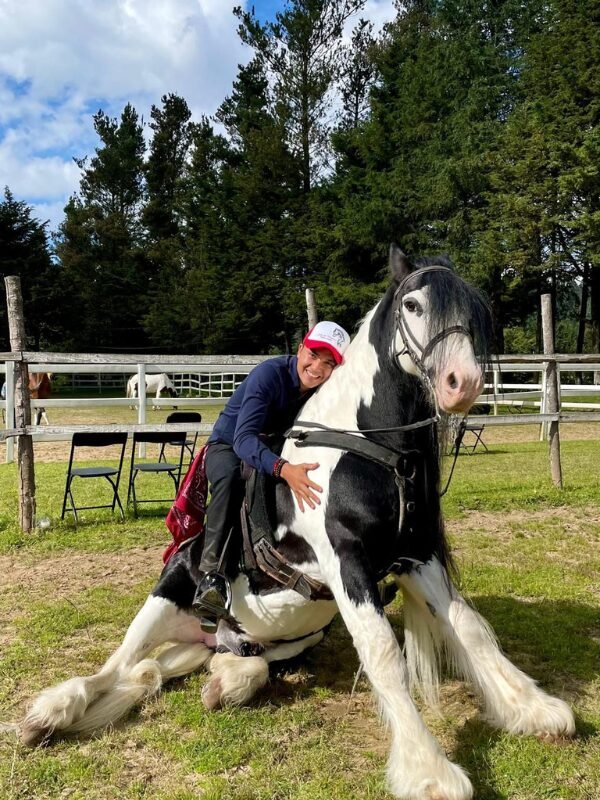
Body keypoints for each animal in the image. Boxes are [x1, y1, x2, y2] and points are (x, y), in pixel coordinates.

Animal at [18, 247, 574, 800]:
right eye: (413, 305)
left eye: (474, 312)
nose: (464, 384)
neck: (363, 449)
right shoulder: (346, 561)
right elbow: (383, 652)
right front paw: (428, 771)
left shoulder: (416, 556)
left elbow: (469, 628)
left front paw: (533, 710)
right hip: (165, 599)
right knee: (114, 669)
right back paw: (50, 714)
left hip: (271, 638)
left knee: (199, 666)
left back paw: (225, 681)